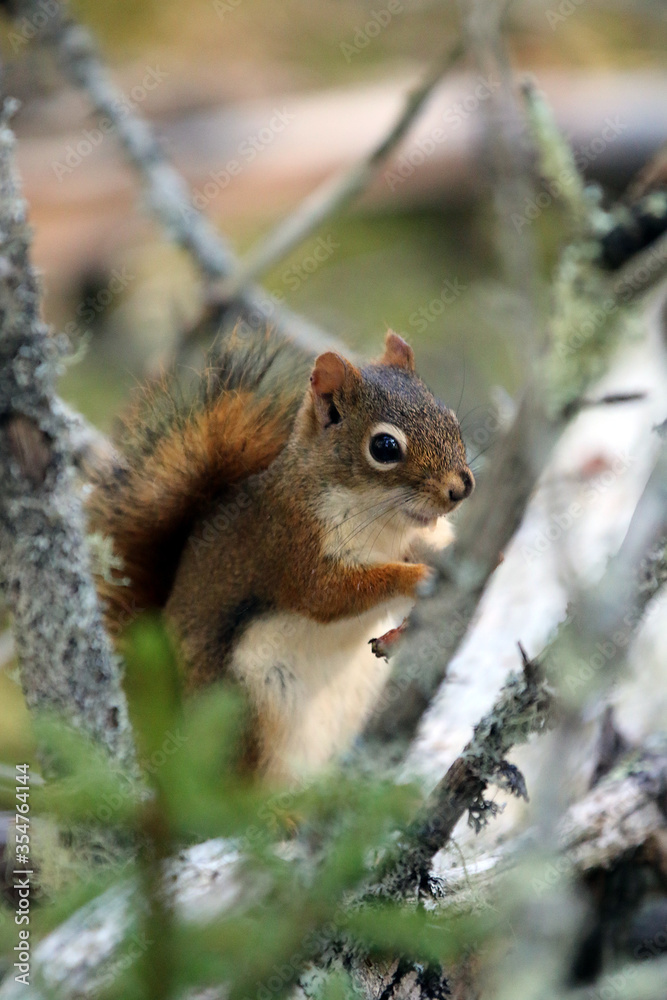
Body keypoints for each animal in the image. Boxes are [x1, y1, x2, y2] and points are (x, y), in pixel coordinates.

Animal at [87, 329, 474, 782]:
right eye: (384, 446)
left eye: (452, 419)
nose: (461, 488)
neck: (385, 524)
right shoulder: (293, 545)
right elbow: (329, 595)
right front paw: (415, 577)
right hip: (249, 707)